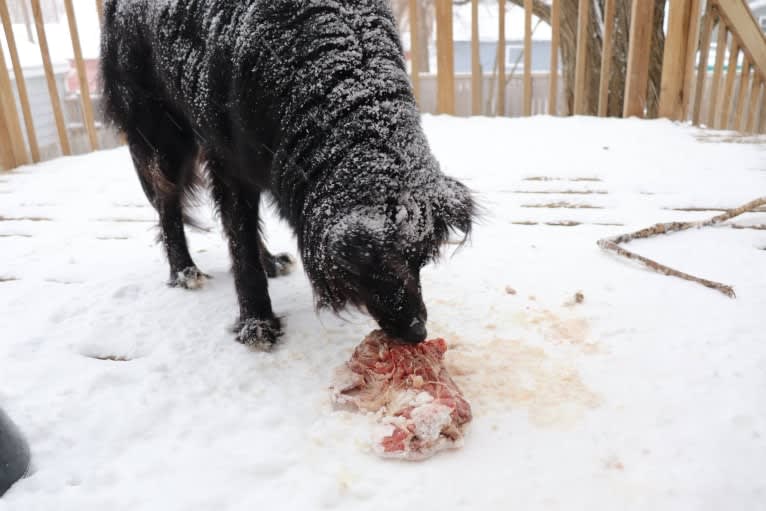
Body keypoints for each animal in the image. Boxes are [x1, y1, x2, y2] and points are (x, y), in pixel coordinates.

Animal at [100, 0, 474, 348]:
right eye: (372, 265)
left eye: (421, 259)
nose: (417, 333)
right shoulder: (229, 161)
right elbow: (241, 245)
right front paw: (257, 323)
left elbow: (242, 233)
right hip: (162, 130)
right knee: (169, 203)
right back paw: (183, 270)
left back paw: (268, 261)